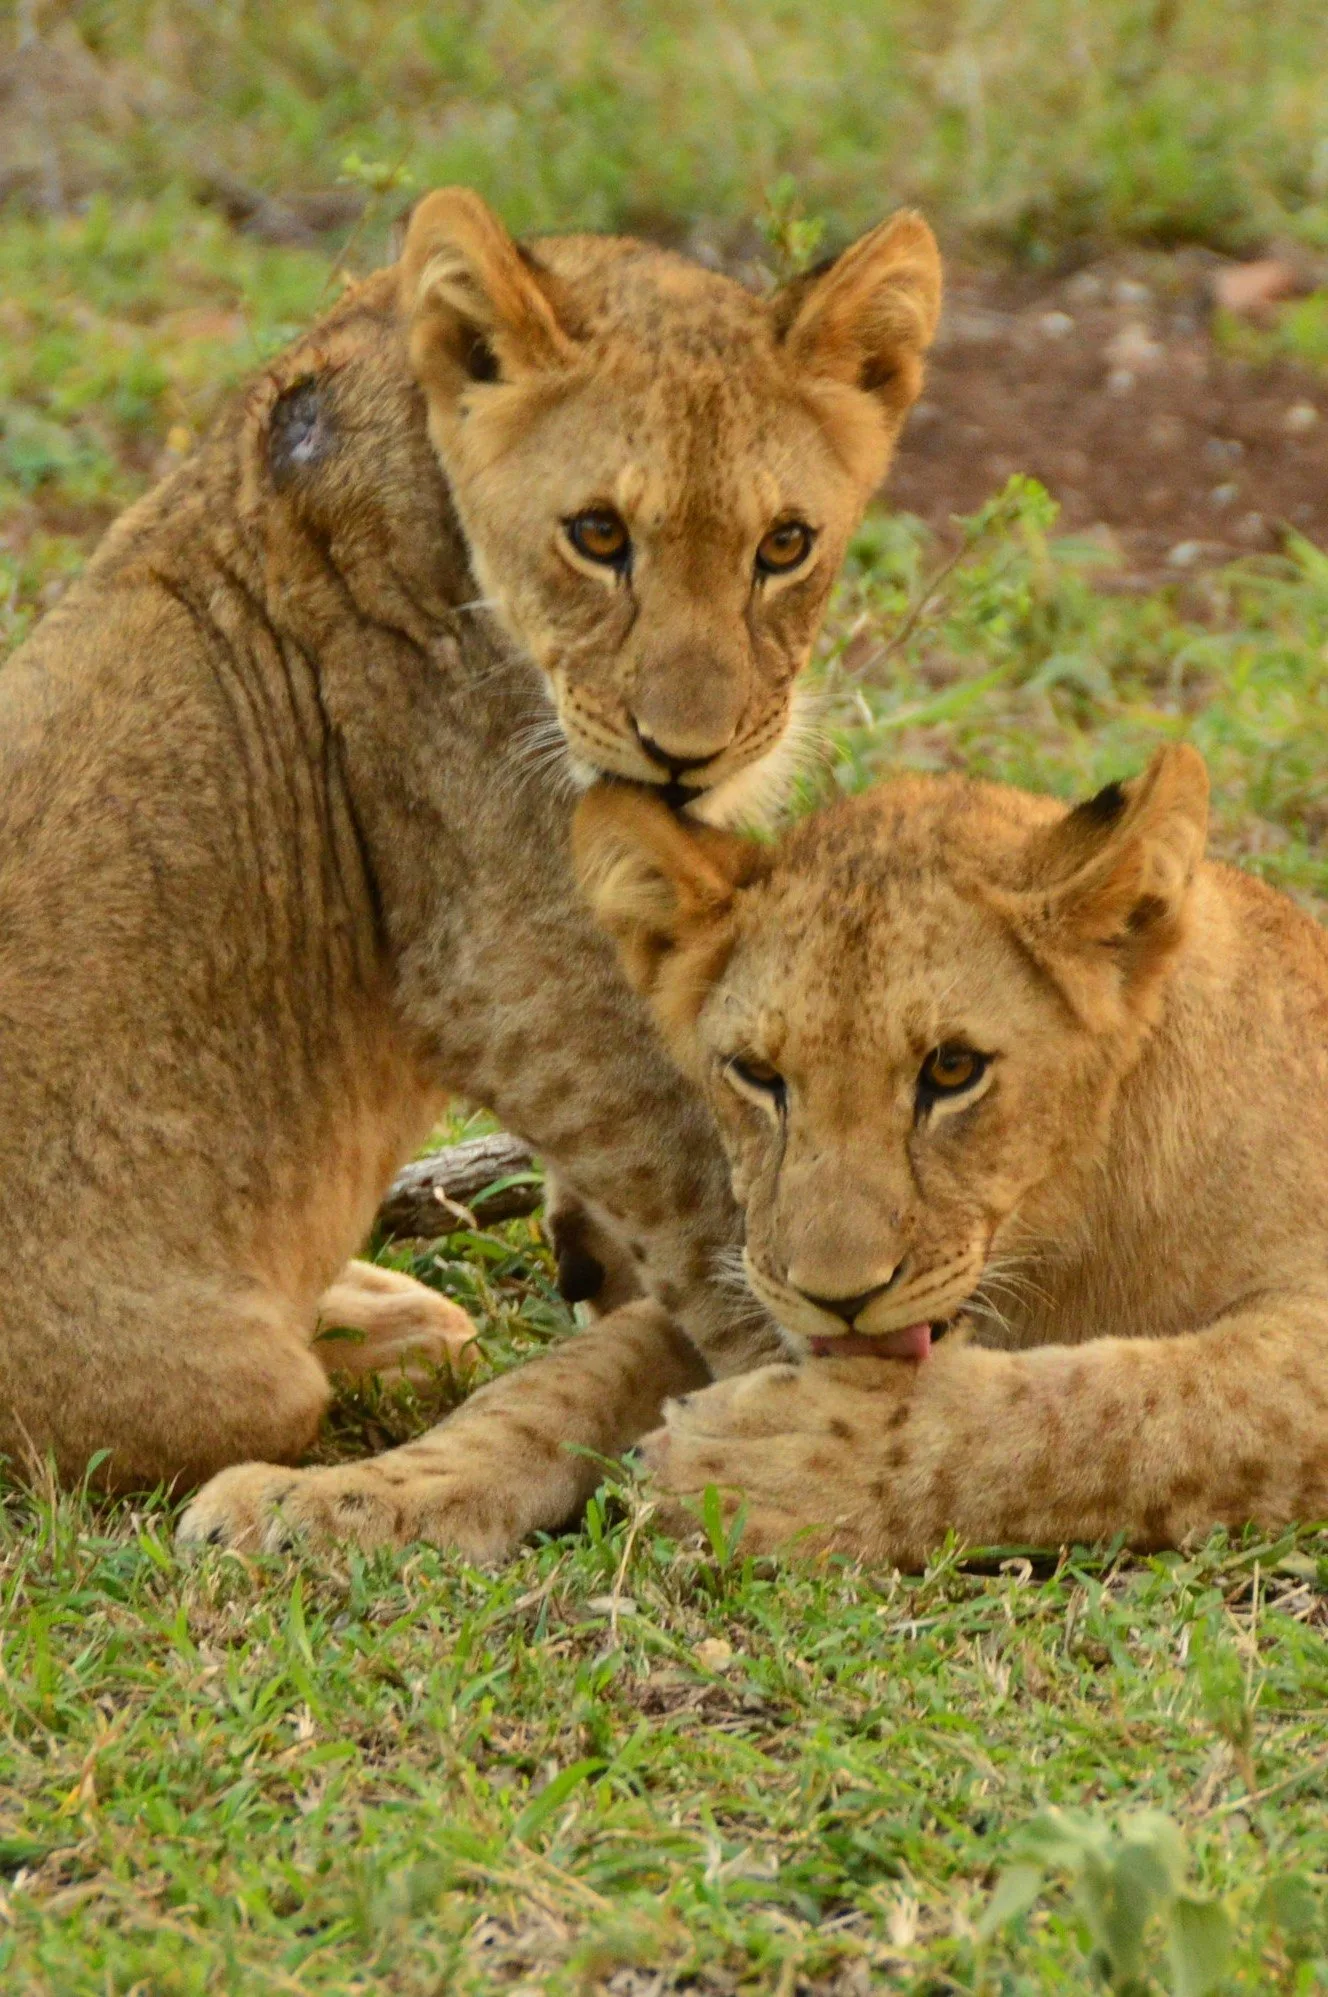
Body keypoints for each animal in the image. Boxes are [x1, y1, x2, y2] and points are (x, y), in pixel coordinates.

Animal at [0, 186, 942, 1556]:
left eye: (784, 544)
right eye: (597, 535)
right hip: (218, 1375)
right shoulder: (500, 947)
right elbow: (697, 1164)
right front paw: (815, 1399)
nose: (687, 751)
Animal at [574, 746, 1328, 1563]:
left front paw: (768, 1462)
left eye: (953, 1069)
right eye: (757, 1072)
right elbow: (602, 1360)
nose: (838, 1299)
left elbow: (1115, 1410)